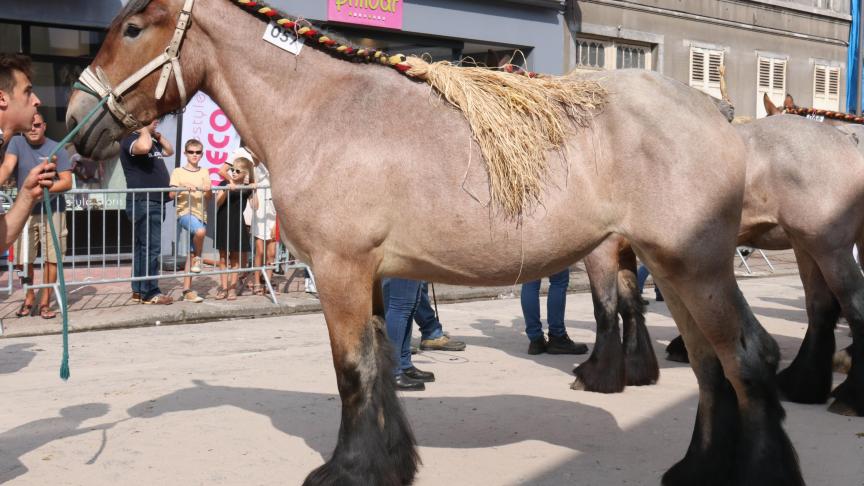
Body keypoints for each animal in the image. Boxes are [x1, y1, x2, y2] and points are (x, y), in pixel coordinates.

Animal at [66, 1, 804, 484]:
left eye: (133, 28)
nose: (74, 120)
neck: (321, 111)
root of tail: (712, 113)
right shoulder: (367, 276)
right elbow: (376, 364)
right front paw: (388, 463)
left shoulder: (338, 270)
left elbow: (352, 371)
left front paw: (347, 471)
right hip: (670, 268)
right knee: (709, 366)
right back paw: (696, 469)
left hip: (694, 266)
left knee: (745, 356)